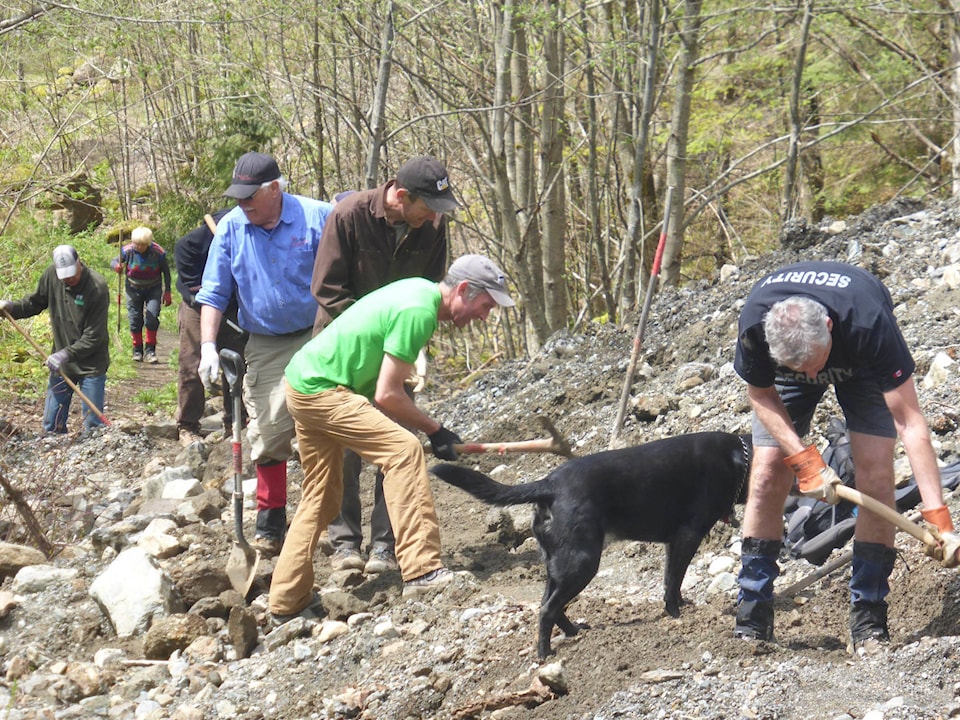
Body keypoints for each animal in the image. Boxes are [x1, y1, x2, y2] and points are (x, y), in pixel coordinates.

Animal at [432, 430, 752, 660]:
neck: (737, 457)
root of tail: (548, 484)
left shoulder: (674, 542)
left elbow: (670, 579)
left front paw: (681, 606)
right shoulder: (687, 535)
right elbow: (674, 581)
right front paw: (676, 613)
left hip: (559, 563)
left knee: (549, 603)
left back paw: (574, 631)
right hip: (582, 562)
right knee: (547, 609)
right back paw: (545, 654)